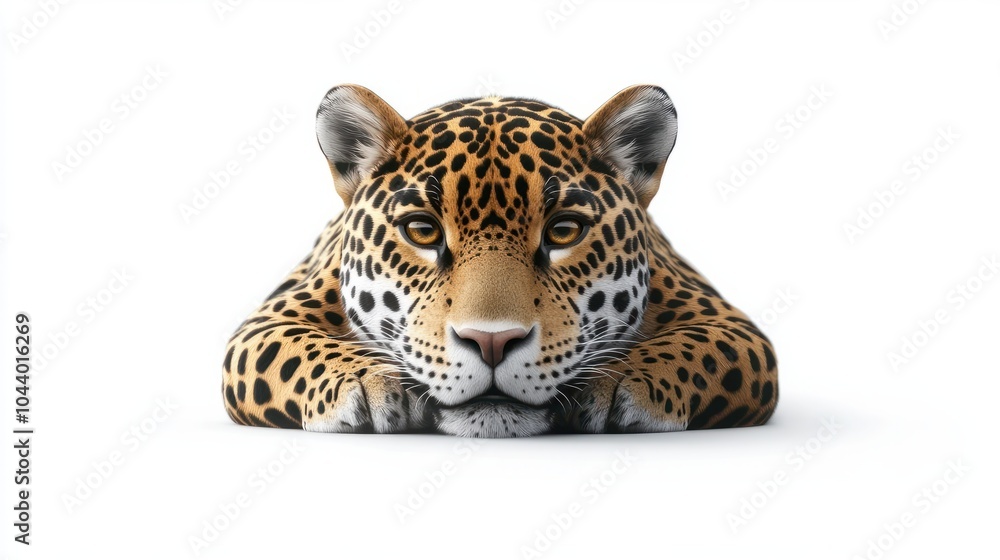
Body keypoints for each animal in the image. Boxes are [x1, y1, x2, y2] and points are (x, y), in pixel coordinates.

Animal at [221, 84, 779, 437]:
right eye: (422, 230)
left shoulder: (734, 327)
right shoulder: (266, 321)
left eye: (563, 231)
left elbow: (699, 350)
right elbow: (289, 349)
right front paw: (369, 381)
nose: (492, 342)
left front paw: (622, 379)